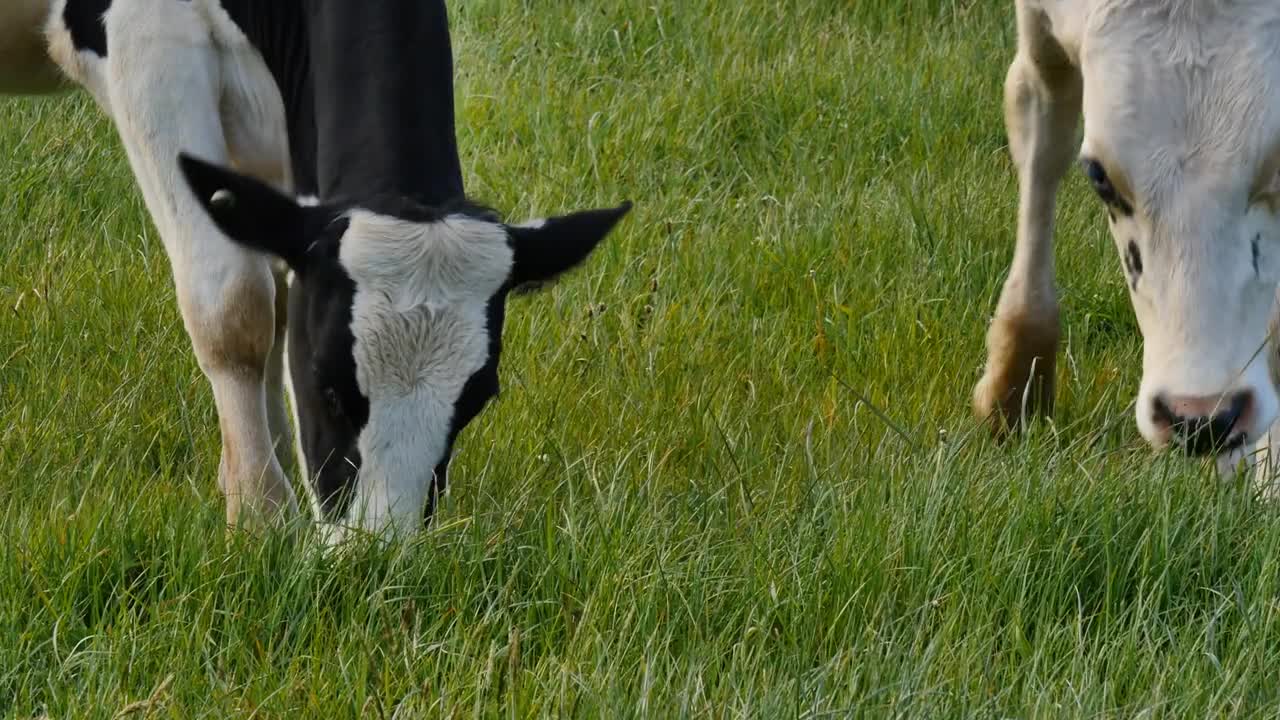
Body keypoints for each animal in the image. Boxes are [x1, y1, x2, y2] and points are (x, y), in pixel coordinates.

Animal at [2, 1, 632, 538]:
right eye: (327, 387)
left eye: (476, 398)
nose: (378, 557)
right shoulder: (146, 43)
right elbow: (233, 305)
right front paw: (261, 518)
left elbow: (280, 302)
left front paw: (258, 471)